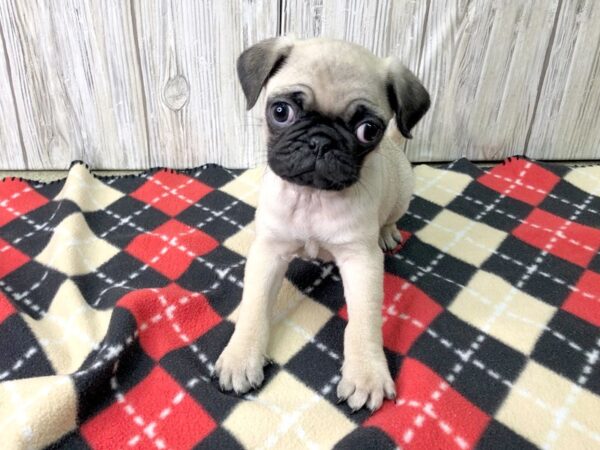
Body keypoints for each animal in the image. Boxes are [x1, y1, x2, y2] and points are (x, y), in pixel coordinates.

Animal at [217, 37, 432, 412]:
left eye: (368, 130)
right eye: (281, 112)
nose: (320, 141)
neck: (312, 197)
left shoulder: (361, 261)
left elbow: (364, 321)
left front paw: (366, 373)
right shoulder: (268, 253)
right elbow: (254, 306)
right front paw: (241, 356)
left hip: (403, 190)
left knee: (392, 217)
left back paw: (388, 233)